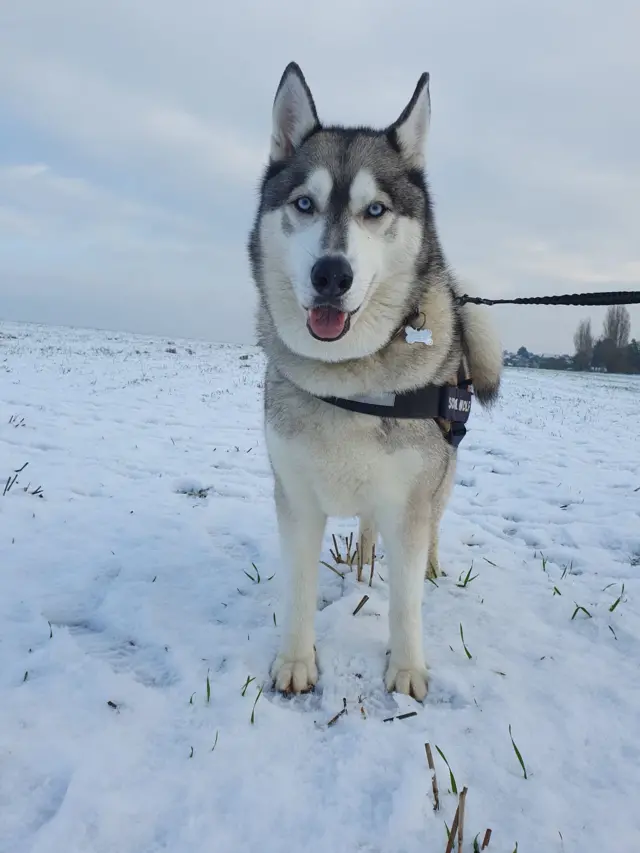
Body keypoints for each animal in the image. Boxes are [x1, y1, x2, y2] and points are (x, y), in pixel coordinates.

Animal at [248, 60, 502, 700]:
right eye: (305, 203)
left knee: (433, 522)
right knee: (365, 528)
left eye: (376, 210)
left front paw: (407, 671)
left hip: (442, 472)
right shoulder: (295, 496)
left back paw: (429, 563)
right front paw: (295, 661)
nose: (331, 274)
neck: (348, 382)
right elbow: (299, 590)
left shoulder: (411, 496)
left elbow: (406, 600)